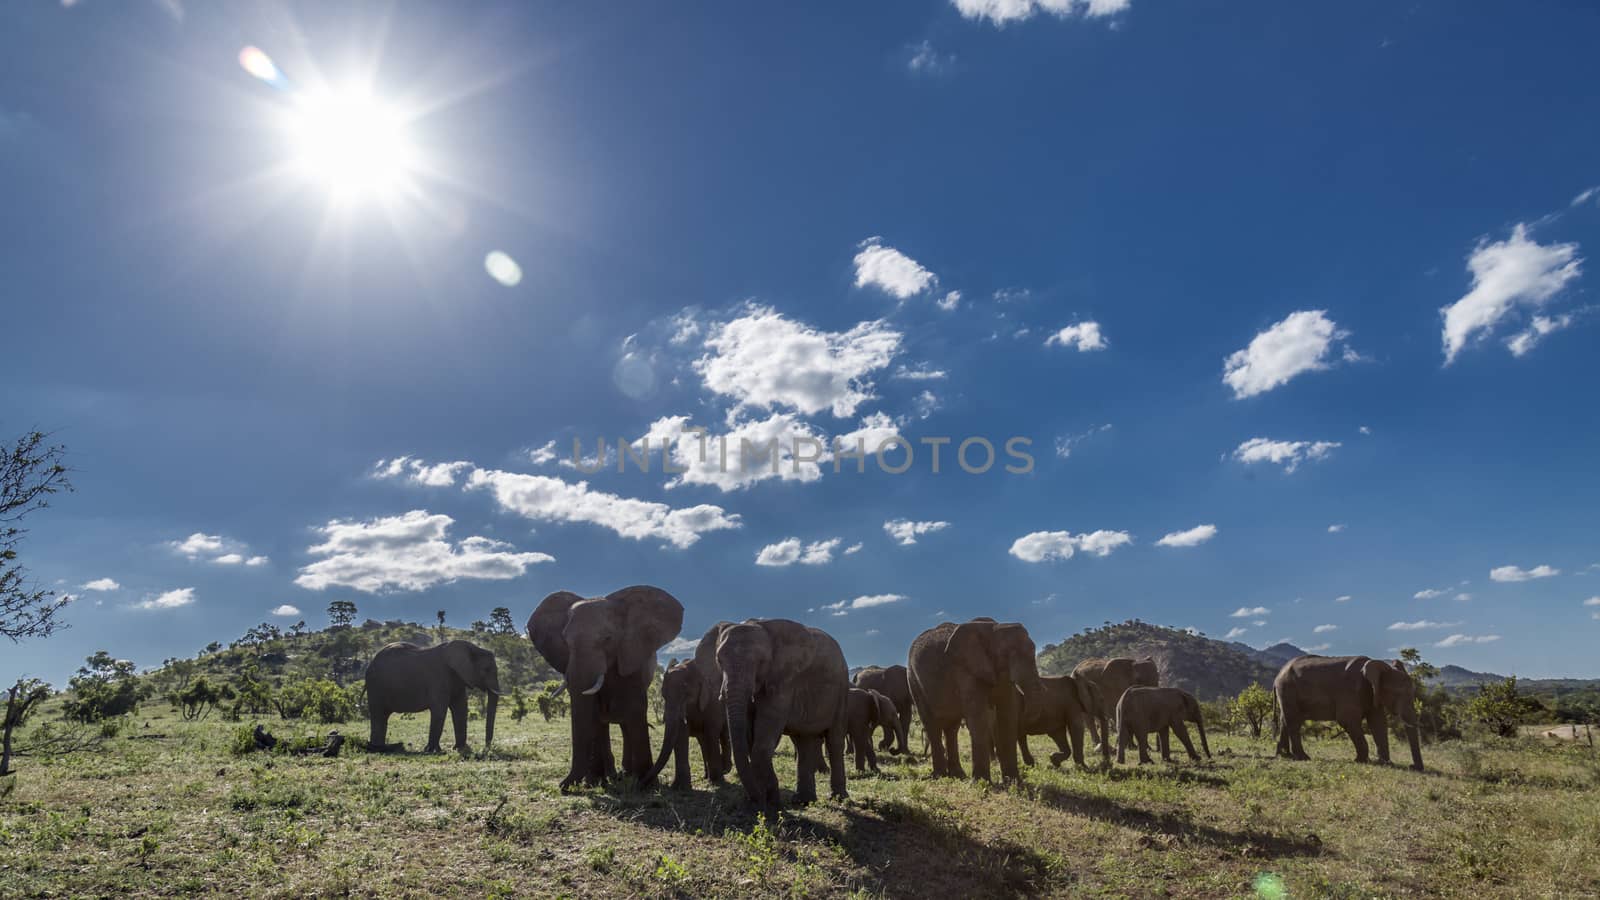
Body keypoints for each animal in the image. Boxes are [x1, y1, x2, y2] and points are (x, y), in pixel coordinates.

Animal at [364, 634, 499, 752]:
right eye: (486, 669)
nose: (486, 748)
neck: (472, 647)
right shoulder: (438, 678)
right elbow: (439, 710)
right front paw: (433, 750)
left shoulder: (457, 678)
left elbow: (460, 708)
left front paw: (460, 749)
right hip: (375, 686)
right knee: (378, 714)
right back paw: (378, 749)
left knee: (381, 716)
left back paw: (381, 748)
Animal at [528, 582, 684, 784]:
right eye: (565, 641)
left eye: (608, 638)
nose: (562, 785)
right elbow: (593, 713)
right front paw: (594, 783)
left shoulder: (632, 656)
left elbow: (635, 710)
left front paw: (645, 783)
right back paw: (609, 776)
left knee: (626, 722)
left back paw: (626, 774)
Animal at [704, 614, 851, 807]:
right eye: (719, 661)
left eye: (761, 661)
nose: (756, 798)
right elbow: (750, 738)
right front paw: (762, 800)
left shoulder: (784, 679)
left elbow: (764, 736)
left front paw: (768, 802)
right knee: (803, 742)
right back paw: (803, 801)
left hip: (841, 690)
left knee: (834, 740)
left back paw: (839, 798)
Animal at [908, 611, 1043, 781]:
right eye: (1007, 653)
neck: (994, 628)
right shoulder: (966, 669)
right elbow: (979, 719)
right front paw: (982, 782)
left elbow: (1006, 717)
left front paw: (1013, 782)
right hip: (914, 681)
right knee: (932, 724)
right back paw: (940, 776)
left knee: (952, 728)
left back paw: (958, 776)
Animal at [1273, 646, 1427, 768]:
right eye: (1397, 693)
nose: (1412, 766)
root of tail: (1278, 676)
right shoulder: (1350, 690)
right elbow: (1347, 719)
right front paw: (1362, 761)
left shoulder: (1372, 693)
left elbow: (1378, 722)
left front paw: (1386, 763)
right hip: (1287, 689)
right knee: (1293, 721)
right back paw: (1303, 758)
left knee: (1286, 720)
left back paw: (1284, 756)